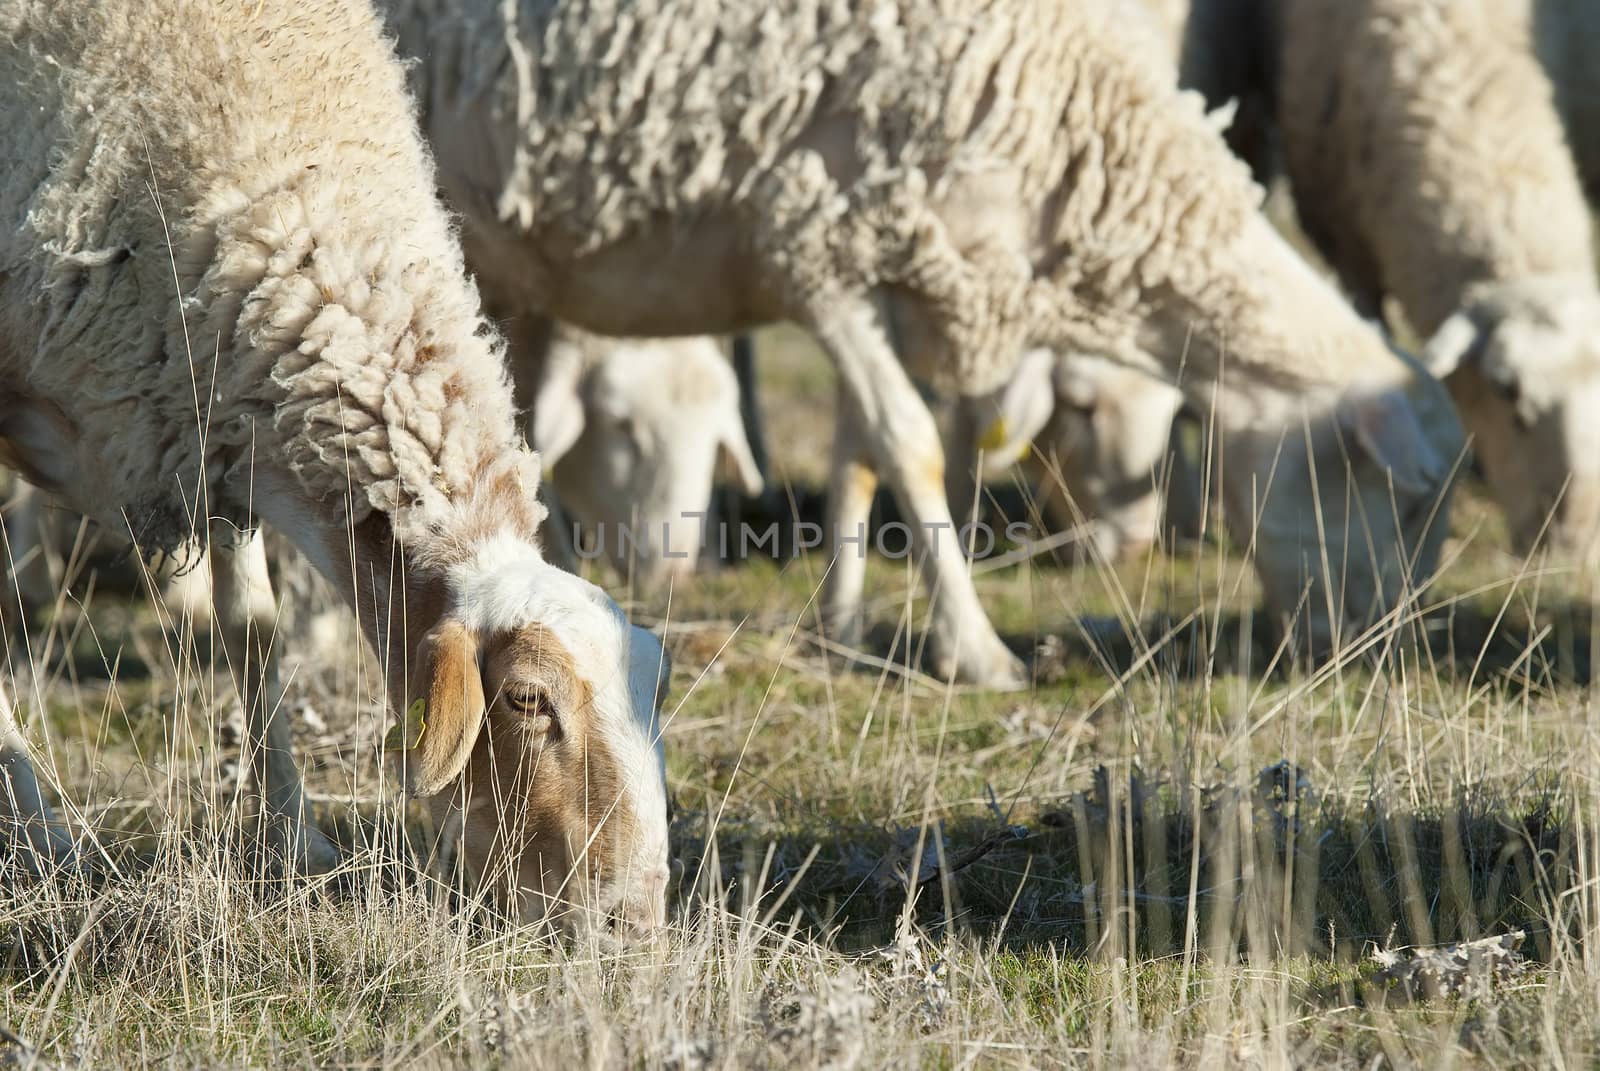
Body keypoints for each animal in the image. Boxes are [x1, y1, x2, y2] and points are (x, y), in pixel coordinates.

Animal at [0, 0, 672, 928]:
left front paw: (298, 841)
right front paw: (42, 842)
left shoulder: (212, 420)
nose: (635, 920)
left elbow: (254, 633)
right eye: (527, 698)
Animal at [384, 0, 1465, 685]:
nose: (1374, 654)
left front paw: (844, 622)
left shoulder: (880, 267)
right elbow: (907, 444)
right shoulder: (814, 246)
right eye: (1403, 502)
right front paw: (976, 653)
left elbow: (858, 451)